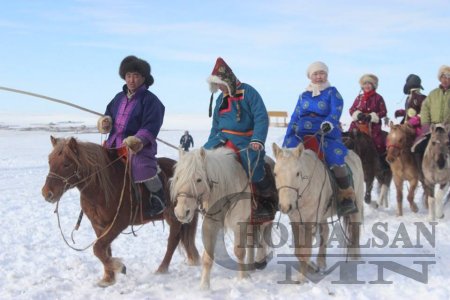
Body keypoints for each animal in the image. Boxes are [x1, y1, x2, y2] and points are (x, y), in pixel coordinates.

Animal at [41, 136, 200, 286]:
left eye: (66, 164)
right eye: (50, 161)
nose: (47, 193)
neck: (102, 187)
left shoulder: (118, 223)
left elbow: (98, 248)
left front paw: (118, 267)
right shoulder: (98, 225)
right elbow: (104, 249)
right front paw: (108, 277)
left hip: (175, 216)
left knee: (172, 241)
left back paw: (162, 269)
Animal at [171, 149, 272, 290]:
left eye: (198, 179)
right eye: (178, 177)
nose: (181, 212)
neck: (227, 188)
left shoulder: (239, 223)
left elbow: (239, 252)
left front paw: (243, 278)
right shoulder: (210, 224)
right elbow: (207, 257)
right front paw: (204, 286)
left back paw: (259, 261)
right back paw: (251, 267)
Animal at [272, 143, 364, 284]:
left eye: (297, 173)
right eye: (275, 174)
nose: (285, 207)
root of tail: (354, 154)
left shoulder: (310, 220)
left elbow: (305, 250)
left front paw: (302, 278)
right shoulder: (296, 220)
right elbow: (299, 251)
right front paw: (309, 269)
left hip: (357, 205)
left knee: (355, 231)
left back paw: (356, 259)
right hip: (322, 215)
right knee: (325, 231)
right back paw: (321, 262)